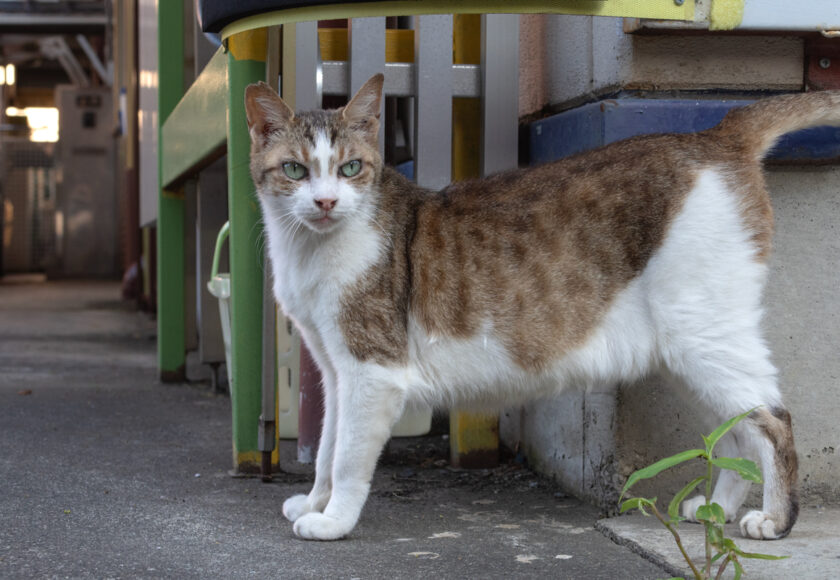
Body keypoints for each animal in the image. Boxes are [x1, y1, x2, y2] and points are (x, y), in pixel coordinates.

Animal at [243, 75, 840, 540]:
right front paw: (315, 502)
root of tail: (715, 133)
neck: (310, 250)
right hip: (688, 350)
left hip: (702, 333)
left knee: (772, 420)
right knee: (735, 428)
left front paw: (333, 521)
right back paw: (719, 508)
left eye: (350, 169)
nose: (325, 202)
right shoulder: (334, 370)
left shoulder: (371, 370)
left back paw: (775, 520)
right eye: (295, 170)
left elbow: (346, 457)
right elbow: (325, 448)